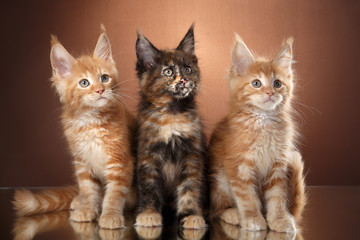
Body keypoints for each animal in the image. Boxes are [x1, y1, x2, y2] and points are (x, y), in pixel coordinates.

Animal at [12, 27, 136, 230]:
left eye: (104, 78)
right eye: (84, 83)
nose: (100, 90)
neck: (90, 122)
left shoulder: (120, 161)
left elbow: (115, 193)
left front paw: (110, 215)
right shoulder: (82, 161)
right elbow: (88, 189)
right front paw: (87, 208)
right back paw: (79, 201)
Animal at [134, 24, 208, 229]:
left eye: (188, 69)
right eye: (168, 72)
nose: (183, 80)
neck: (172, 113)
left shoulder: (192, 155)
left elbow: (190, 187)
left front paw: (191, 214)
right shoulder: (148, 155)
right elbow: (149, 187)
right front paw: (149, 214)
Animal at [208, 34, 306, 232]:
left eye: (277, 83)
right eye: (256, 83)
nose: (270, 93)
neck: (263, 121)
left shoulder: (277, 166)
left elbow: (277, 197)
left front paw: (279, 219)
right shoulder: (238, 166)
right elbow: (247, 197)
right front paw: (252, 218)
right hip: (219, 180)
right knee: (217, 208)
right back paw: (232, 214)